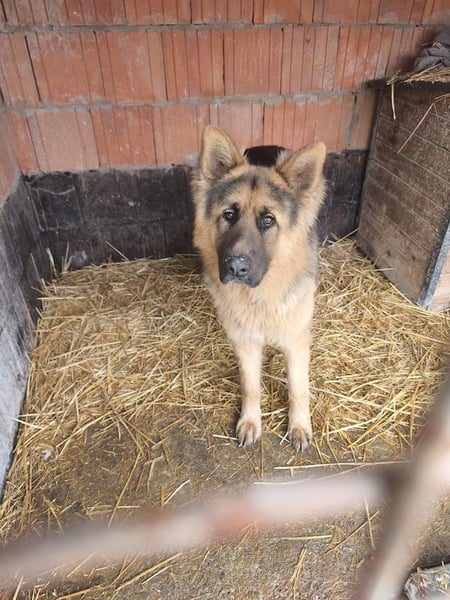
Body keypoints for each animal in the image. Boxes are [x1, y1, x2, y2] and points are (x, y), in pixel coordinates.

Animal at [192, 126, 326, 451]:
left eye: (268, 220)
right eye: (229, 215)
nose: (236, 269)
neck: (260, 296)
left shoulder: (296, 342)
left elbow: (298, 389)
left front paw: (299, 426)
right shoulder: (245, 342)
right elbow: (251, 386)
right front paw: (251, 421)